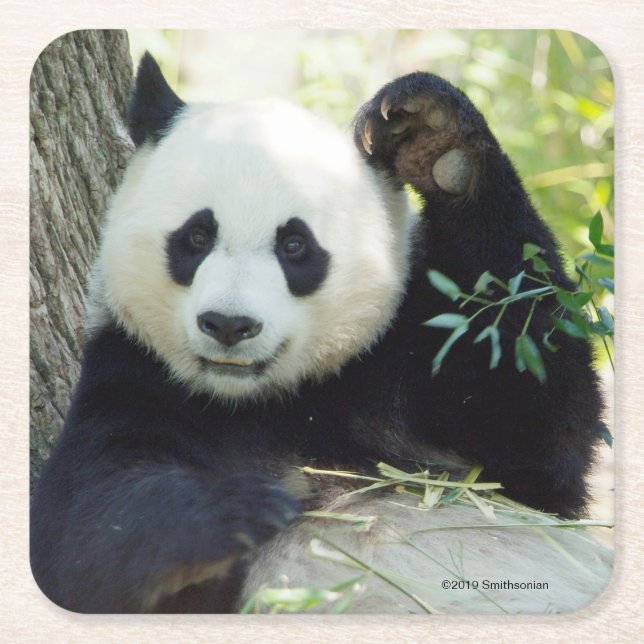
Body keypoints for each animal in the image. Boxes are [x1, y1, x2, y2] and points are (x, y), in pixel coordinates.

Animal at [30, 52, 611, 614]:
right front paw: (241, 511)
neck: (267, 401)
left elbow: (538, 434)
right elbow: (85, 529)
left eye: (294, 246)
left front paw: (433, 135)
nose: (229, 325)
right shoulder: (135, 378)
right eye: (196, 236)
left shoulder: (401, 365)